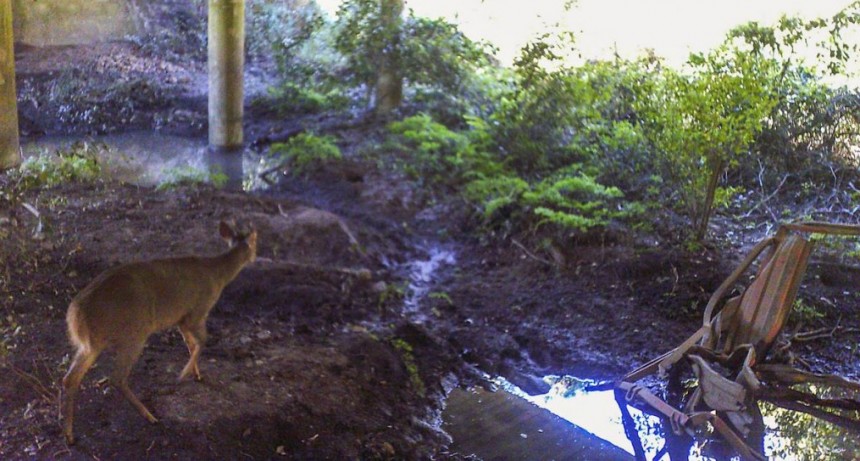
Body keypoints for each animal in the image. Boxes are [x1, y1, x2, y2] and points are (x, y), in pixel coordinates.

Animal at [60, 221, 256, 444]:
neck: (218, 275)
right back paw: (150, 416)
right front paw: (184, 373)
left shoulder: (181, 319)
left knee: (71, 378)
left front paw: (196, 374)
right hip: (134, 333)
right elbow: (202, 342)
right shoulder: (197, 311)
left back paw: (69, 434)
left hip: (91, 344)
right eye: (256, 241)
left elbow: (191, 344)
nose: (254, 257)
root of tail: (76, 317)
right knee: (117, 377)